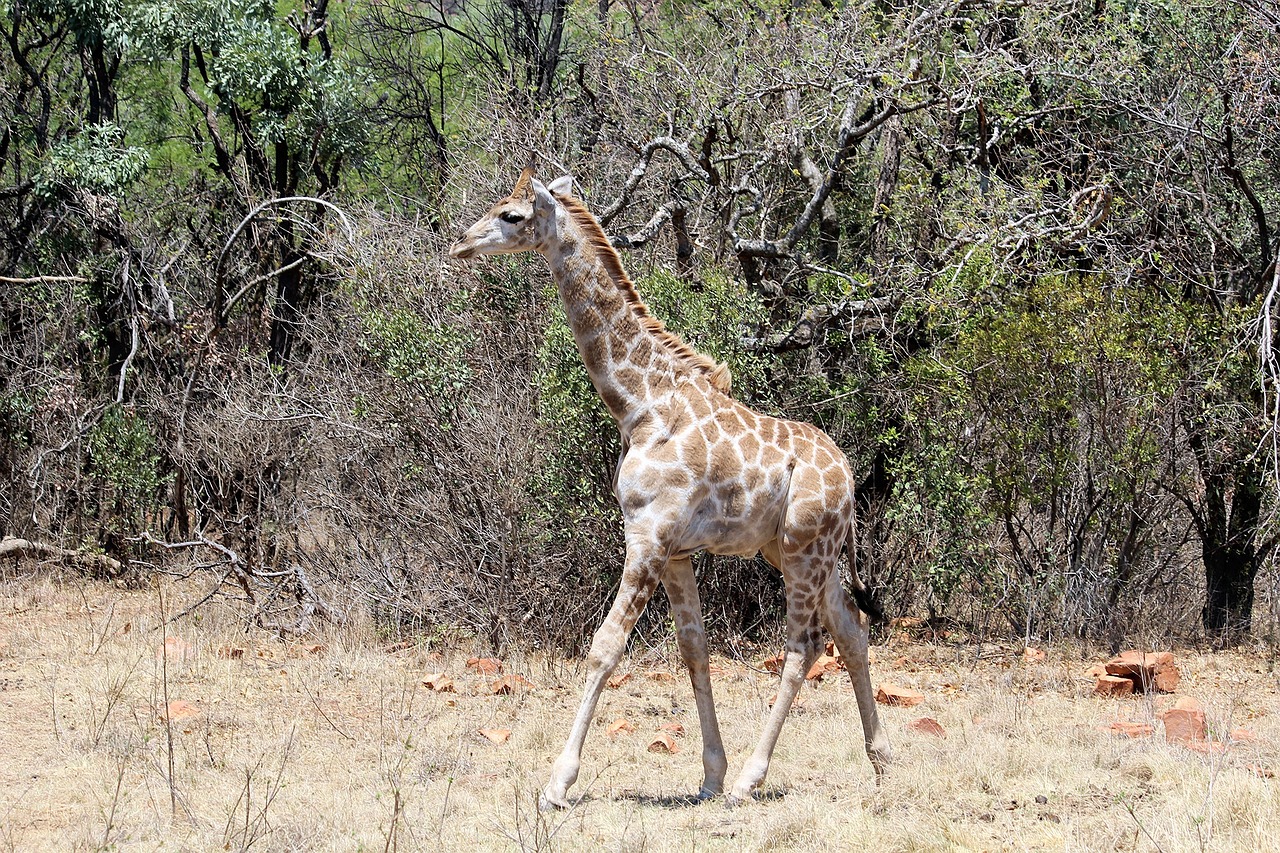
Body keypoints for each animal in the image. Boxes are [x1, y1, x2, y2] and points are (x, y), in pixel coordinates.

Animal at [450, 166, 890, 804]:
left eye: (512, 215)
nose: (461, 243)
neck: (640, 406)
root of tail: (849, 479)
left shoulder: (648, 538)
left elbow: (605, 648)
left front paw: (558, 782)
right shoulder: (677, 551)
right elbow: (693, 651)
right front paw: (709, 773)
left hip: (805, 550)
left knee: (803, 645)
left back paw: (753, 779)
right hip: (802, 551)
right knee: (852, 632)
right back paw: (882, 761)